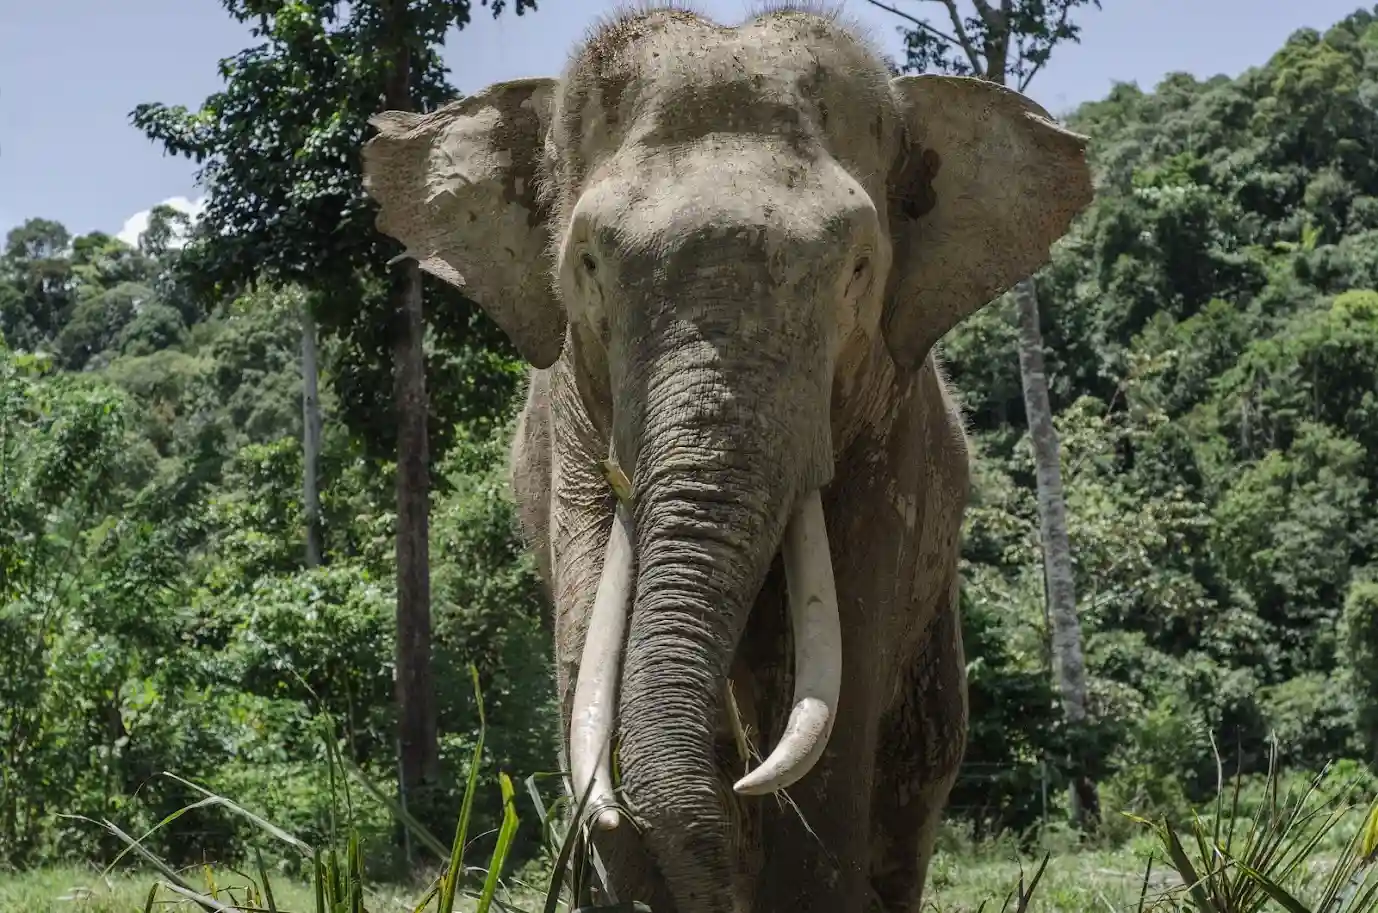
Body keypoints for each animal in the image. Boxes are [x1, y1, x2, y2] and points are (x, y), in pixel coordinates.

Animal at [360, 6, 1091, 912]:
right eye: (589, 263)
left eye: (857, 268)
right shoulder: (575, 422)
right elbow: (585, 644)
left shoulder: (895, 438)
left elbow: (843, 674)